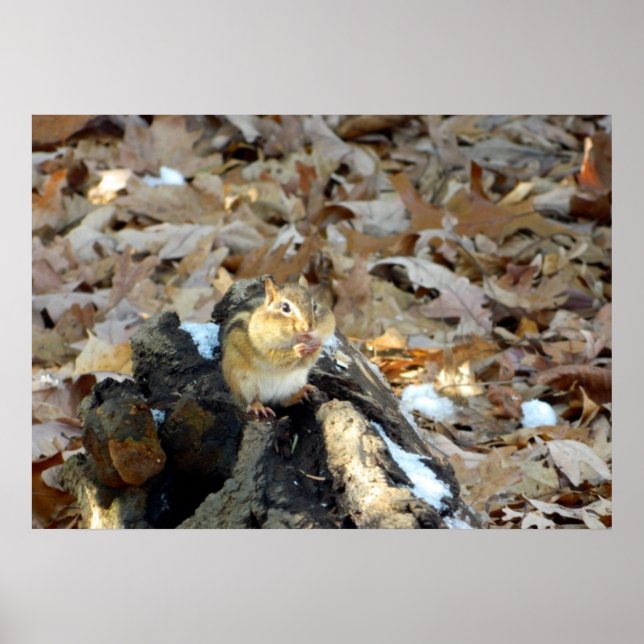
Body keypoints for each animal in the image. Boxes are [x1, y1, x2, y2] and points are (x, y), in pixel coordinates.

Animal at [221, 275, 336, 418]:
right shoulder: (262, 347)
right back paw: (258, 407)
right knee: (252, 399)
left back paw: (302, 391)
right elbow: (276, 358)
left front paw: (315, 346)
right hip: (243, 382)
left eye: (314, 305)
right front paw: (297, 351)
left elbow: (309, 360)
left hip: (294, 382)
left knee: (283, 400)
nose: (308, 327)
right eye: (285, 307)